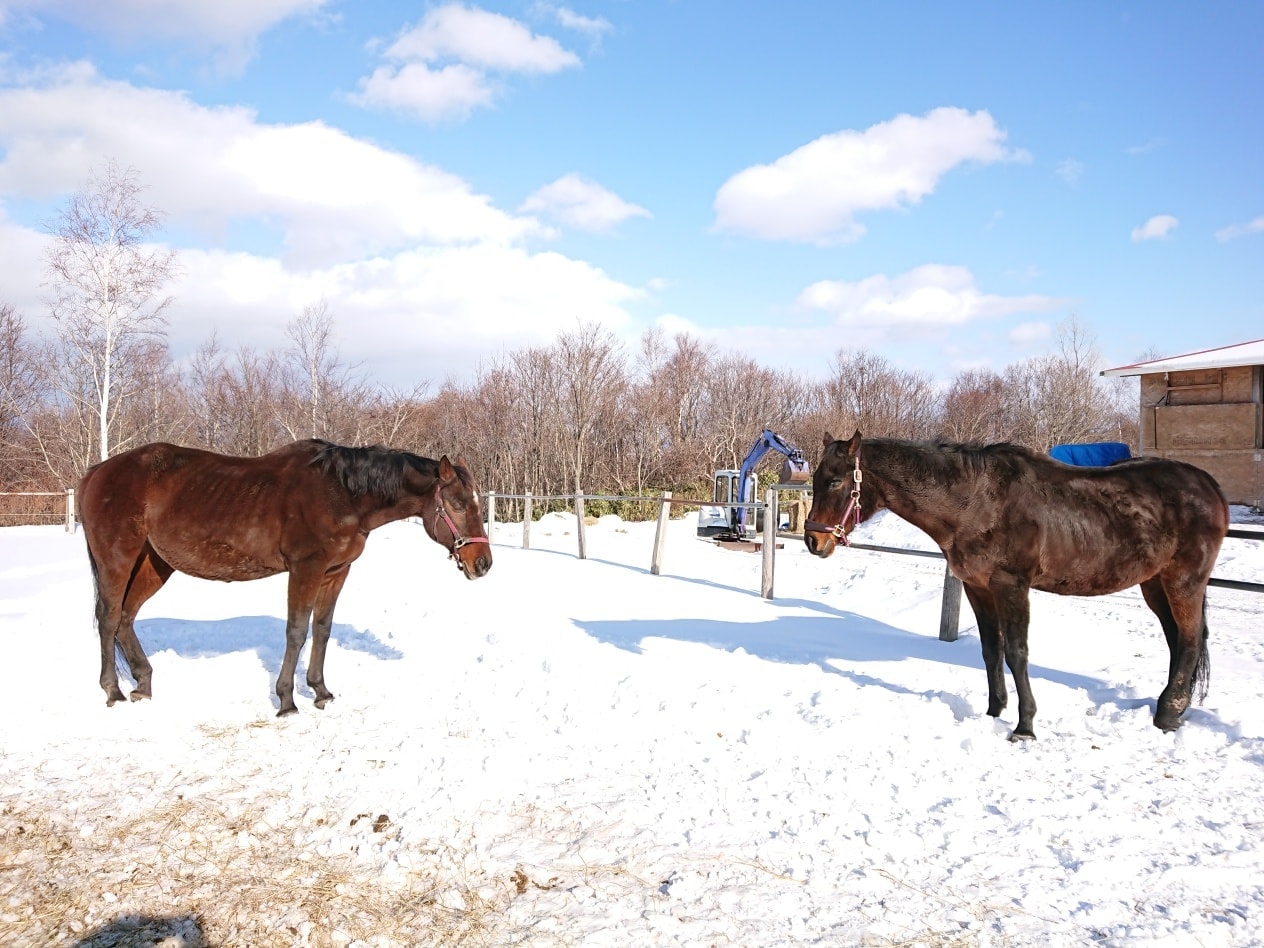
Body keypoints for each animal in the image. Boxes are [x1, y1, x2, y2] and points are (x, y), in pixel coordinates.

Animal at [77, 442, 492, 717]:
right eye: (457, 504)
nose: (483, 563)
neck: (342, 493)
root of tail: (97, 471)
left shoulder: (335, 572)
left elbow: (321, 629)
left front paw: (321, 691)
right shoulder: (305, 568)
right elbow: (296, 631)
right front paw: (288, 701)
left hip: (154, 563)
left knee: (126, 617)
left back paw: (143, 685)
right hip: (118, 558)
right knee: (109, 617)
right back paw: (113, 691)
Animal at [803, 432, 1228, 743]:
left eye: (836, 480)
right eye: (814, 480)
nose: (813, 541)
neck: (976, 502)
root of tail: (1209, 485)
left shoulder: (1012, 587)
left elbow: (1017, 653)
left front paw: (1025, 727)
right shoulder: (977, 587)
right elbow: (992, 651)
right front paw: (994, 711)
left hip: (1183, 581)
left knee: (1190, 641)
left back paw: (1168, 716)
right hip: (1155, 584)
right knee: (1177, 641)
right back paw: (1171, 707)